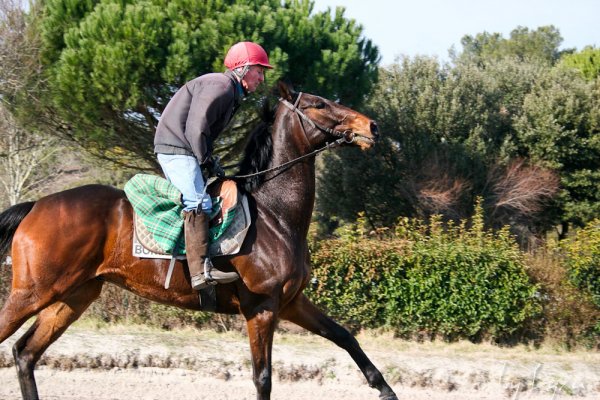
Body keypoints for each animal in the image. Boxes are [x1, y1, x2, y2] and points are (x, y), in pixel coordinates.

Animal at [0, 83, 398, 398]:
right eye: (319, 104)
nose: (372, 126)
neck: (276, 214)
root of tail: (38, 205)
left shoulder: (290, 303)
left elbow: (345, 336)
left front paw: (385, 389)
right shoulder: (261, 308)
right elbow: (263, 378)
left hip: (74, 296)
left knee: (25, 353)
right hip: (33, 292)